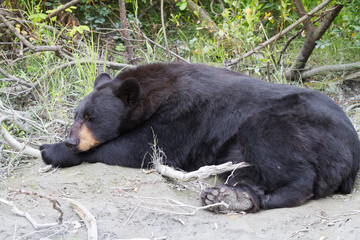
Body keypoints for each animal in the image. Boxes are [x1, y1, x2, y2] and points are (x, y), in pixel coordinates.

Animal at [40, 62, 360, 213]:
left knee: (276, 150)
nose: (71, 140)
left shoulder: (183, 114)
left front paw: (51, 150)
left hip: (296, 125)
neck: (155, 93)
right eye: (76, 115)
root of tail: (353, 157)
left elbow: (143, 148)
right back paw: (230, 197)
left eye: (91, 118)